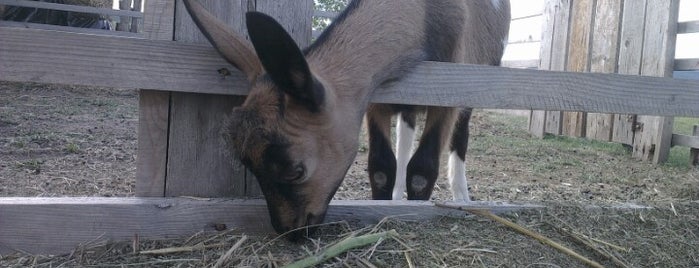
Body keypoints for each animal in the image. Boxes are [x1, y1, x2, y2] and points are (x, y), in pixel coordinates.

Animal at [183, 0, 512, 239]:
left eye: (295, 171)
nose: (290, 231)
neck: (427, 16)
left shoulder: (448, 88)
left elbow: (422, 170)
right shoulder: (375, 98)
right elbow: (381, 167)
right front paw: (383, 204)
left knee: (460, 134)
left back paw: (461, 195)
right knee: (405, 131)